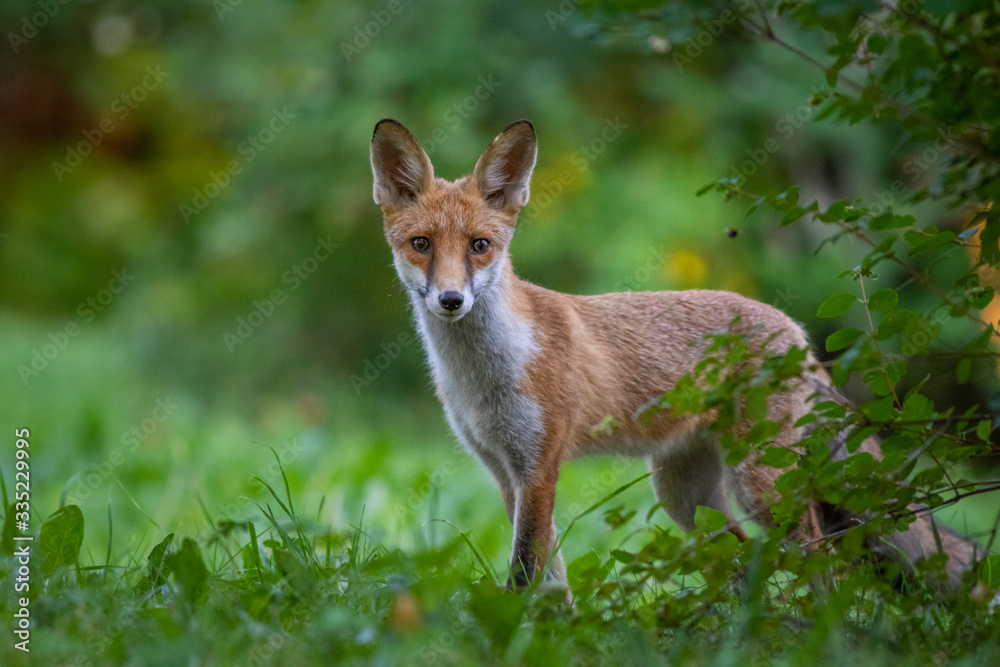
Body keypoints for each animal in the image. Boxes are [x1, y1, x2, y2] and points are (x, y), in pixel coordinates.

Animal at [370, 118, 983, 592]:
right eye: (421, 245)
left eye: (480, 246)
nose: (452, 300)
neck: (484, 373)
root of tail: (798, 335)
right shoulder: (503, 471)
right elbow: (551, 579)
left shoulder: (538, 468)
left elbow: (524, 574)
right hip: (687, 499)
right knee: (746, 559)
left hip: (761, 487)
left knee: (819, 559)